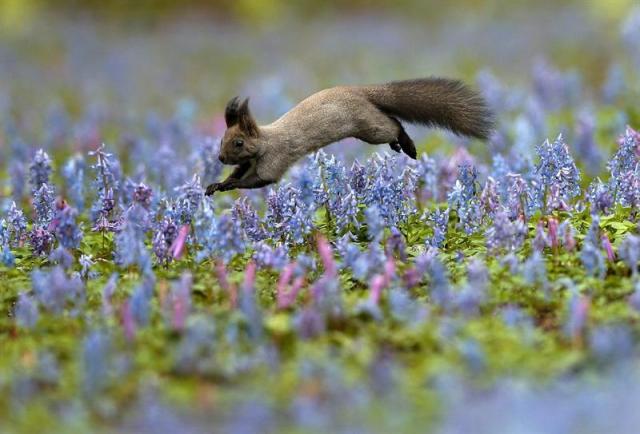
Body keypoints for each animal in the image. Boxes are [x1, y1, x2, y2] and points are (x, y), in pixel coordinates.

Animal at [206, 77, 496, 195]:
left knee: (393, 123)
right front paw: (218, 184)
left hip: (369, 127)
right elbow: (239, 173)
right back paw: (398, 145)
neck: (264, 142)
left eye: (239, 142)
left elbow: (260, 180)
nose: (220, 158)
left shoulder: (275, 159)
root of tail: (361, 91)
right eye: (221, 139)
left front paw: (228, 186)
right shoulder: (249, 161)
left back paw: (406, 144)